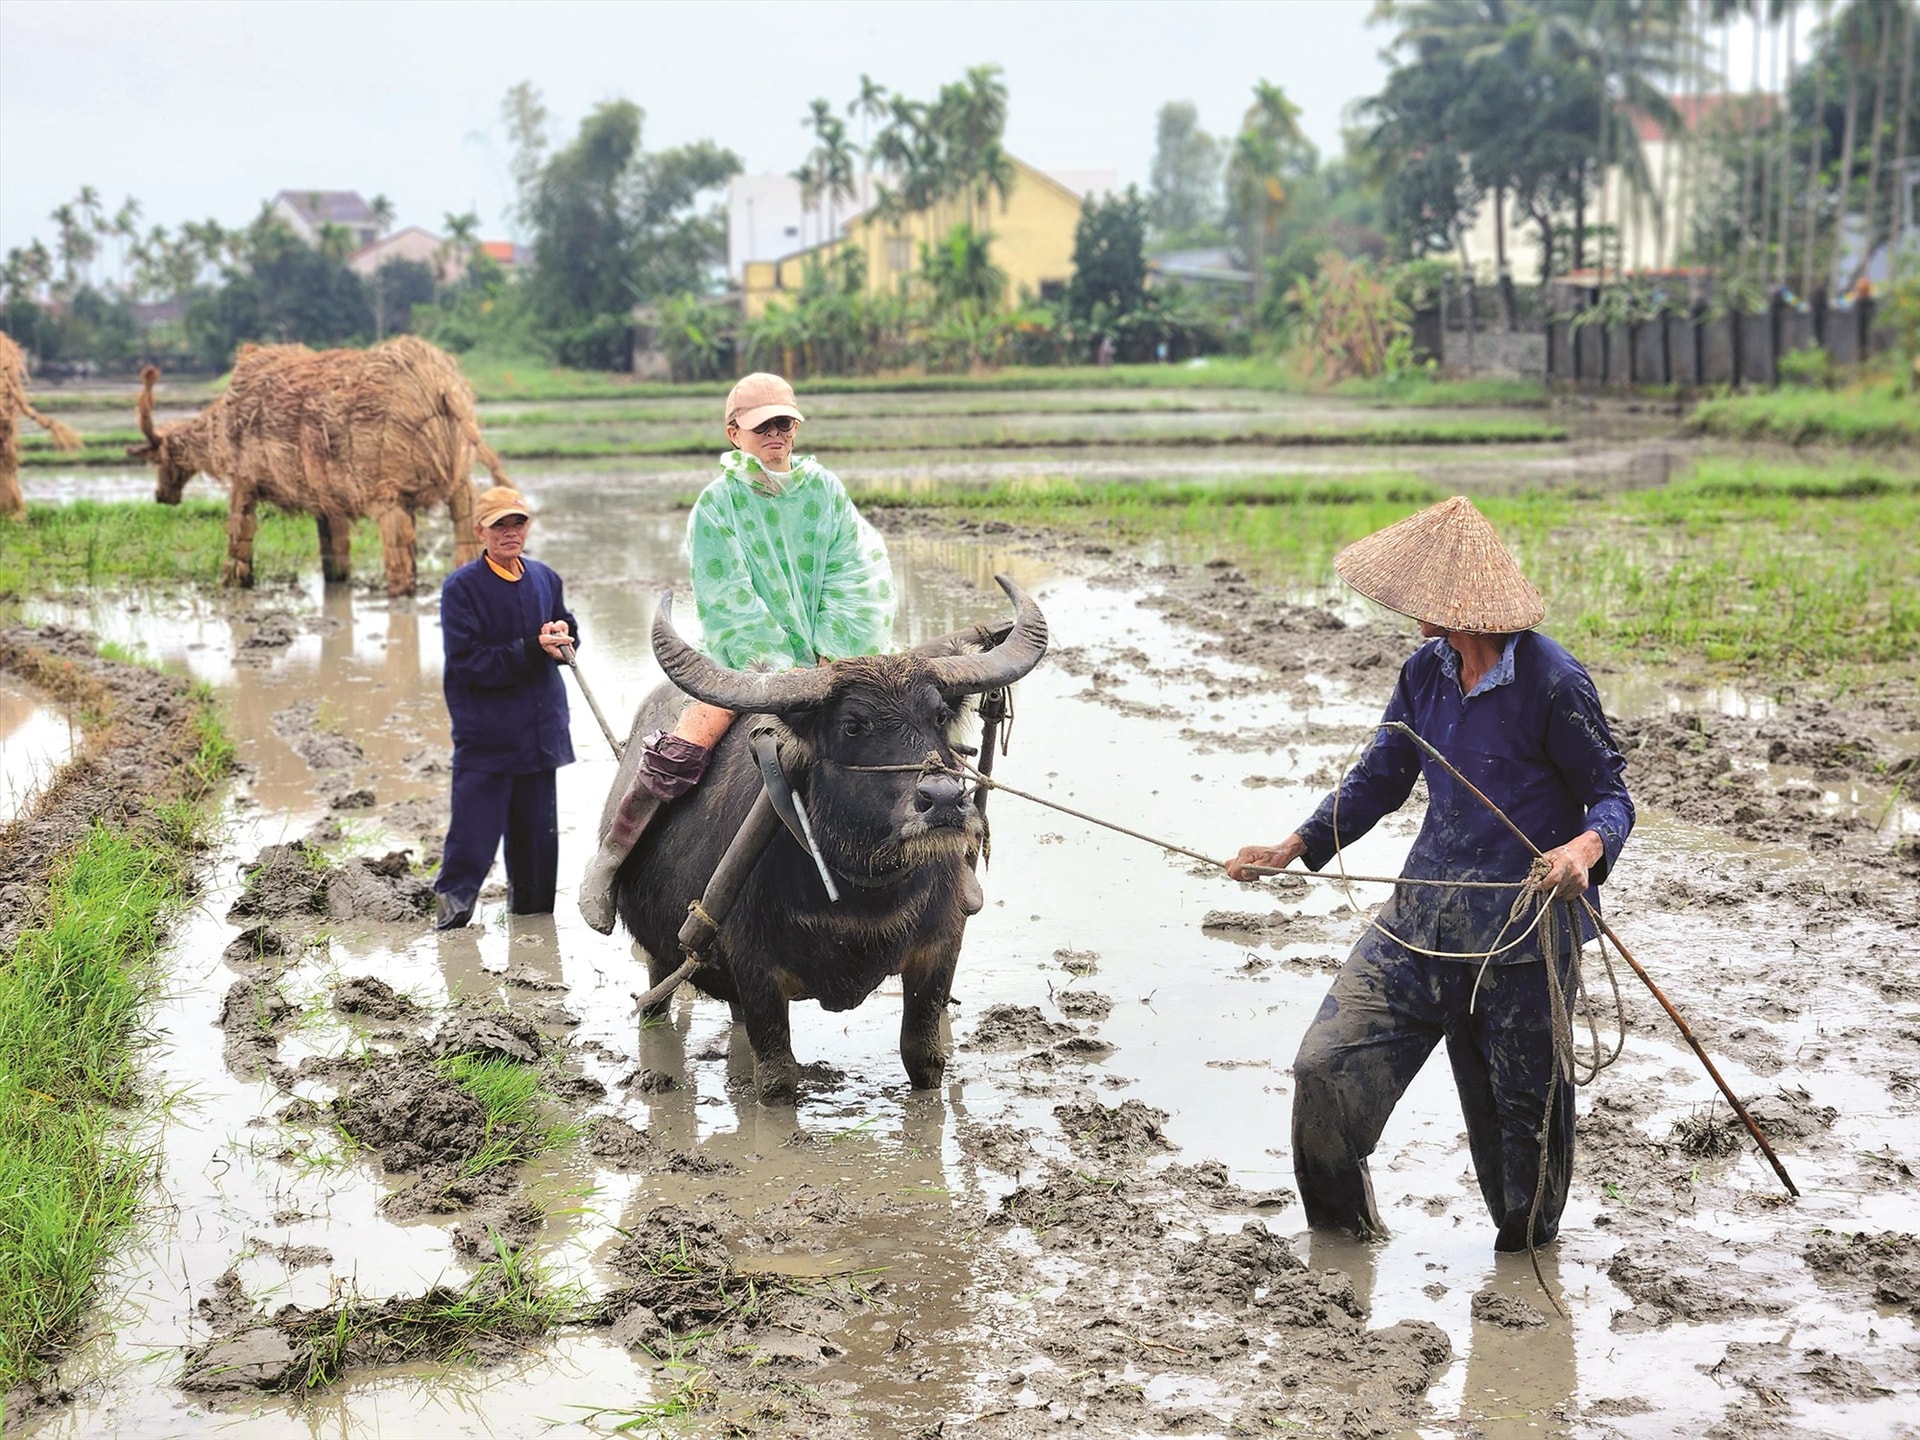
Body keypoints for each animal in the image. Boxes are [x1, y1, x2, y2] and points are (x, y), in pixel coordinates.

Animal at [606, 568, 1044, 1098]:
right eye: (853, 725)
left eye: (939, 716)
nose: (942, 800)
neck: (863, 897)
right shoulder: (757, 973)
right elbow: (776, 1078)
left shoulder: (939, 951)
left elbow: (923, 1058)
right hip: (657, 954)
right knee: (655, 1008)